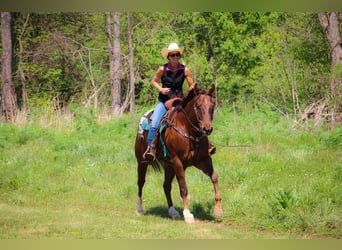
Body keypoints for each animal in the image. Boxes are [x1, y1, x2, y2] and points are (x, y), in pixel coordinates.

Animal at [135, 84, 223, 223]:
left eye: (212, 106)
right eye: (198, 106)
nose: (207, 129)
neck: (189, 131)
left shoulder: (203, 160)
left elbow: (214, 177)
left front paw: (218, 209)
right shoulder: (178, 162)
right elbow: (183, 188)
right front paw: (187, 214)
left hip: (169, 166)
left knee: (166, 186)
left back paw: (172, 211)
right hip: (142, 162)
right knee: (141, 182)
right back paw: (139, 209)